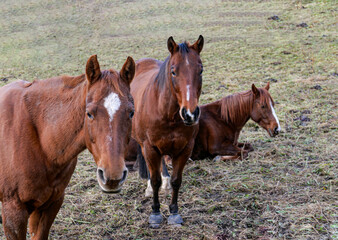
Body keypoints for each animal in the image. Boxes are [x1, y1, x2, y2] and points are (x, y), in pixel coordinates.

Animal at [131, 35, 202, 227]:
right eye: (173, 72)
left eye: (200, 70)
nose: (190, 113)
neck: (167, 113)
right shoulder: (149, 147)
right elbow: (155, 180)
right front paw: (155, 213)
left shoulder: (185, 149)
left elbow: (177, 181)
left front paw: (174, 212)